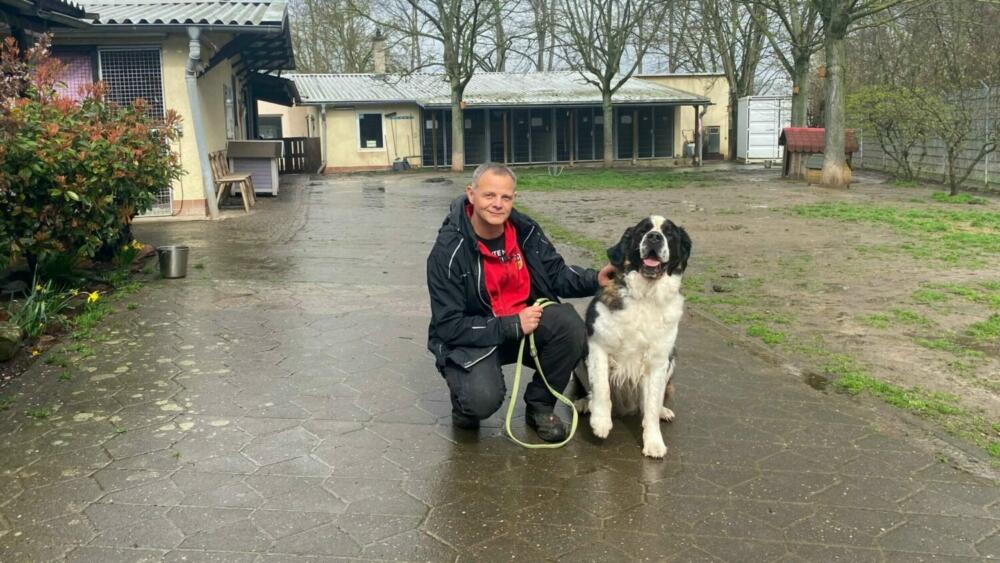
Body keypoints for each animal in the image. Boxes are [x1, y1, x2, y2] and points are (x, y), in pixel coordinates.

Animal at [574, 215, 691, 458]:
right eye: (642, 231)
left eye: (669, 233)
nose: (654, 237)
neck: (646, 295)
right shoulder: (597, 345)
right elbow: (601, 387)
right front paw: (600, 421)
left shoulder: (658, 361)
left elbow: (652, 403)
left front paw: (654, 442)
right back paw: (583, 403)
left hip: (672, 360)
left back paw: (663, 411)